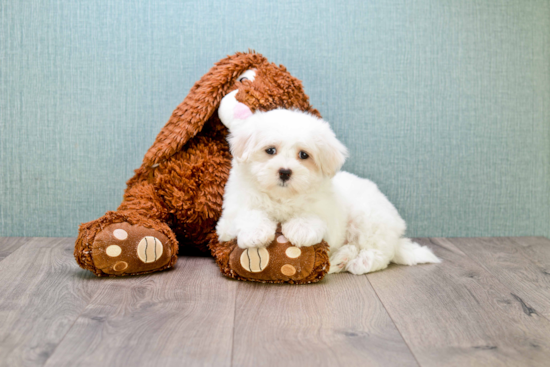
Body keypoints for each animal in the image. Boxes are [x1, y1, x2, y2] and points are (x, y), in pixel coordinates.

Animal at [216, 102, 440, 274]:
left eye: (303, 155)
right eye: (270, 150)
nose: (285, 172)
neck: (282, 197)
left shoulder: (327, 213)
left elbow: (314, 217)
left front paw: (301, 228)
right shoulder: (228, 218)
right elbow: (248, 213)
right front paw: (255, 232)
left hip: (369, 218)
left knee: (379, 251)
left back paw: (359, 262)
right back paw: (341, 259)